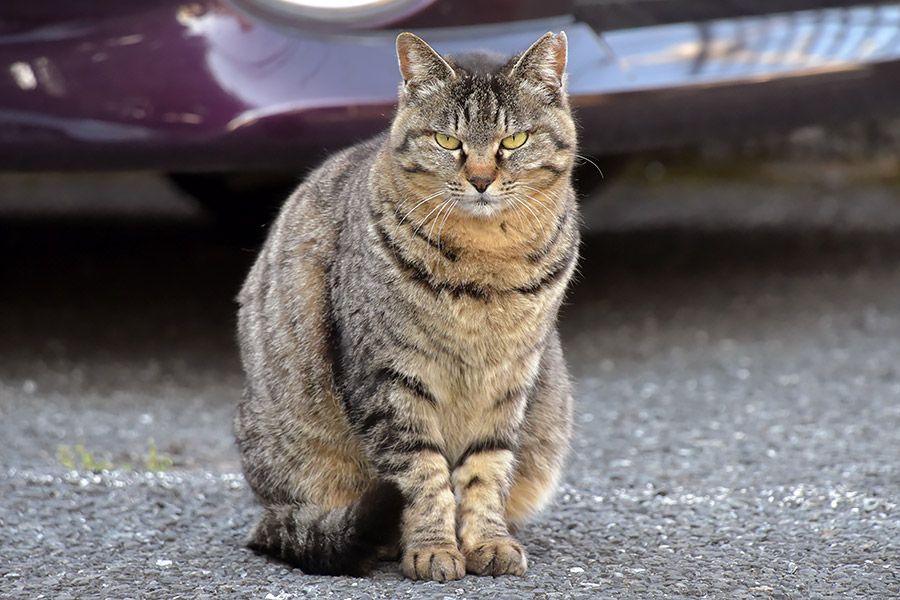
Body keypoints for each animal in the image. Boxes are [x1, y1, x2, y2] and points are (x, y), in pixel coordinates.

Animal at [236, 29, 580, 580]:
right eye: (447, 141)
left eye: (513, 141)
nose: (480, 179)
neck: (487, 260)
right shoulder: (390, 379)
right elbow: (423, 475)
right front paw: (432, 548)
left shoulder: (509, 379)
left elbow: (486, 470)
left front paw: (488, 541)